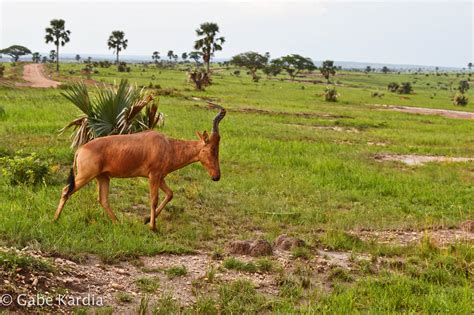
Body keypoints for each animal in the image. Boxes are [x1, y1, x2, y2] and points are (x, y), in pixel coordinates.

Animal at [54, 105, 225, 231]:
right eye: (212, 149)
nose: (216, 176)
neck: (167, 145)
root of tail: (80, 150)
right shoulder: (153, 176)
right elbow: (154, 199)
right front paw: (153, 227)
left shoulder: (159, 177)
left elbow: (170, 194)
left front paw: (146, 219)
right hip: (85, 176)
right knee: (66, 190)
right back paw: (55, 219)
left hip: (103, 177)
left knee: (103, 199)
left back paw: (118, 223)